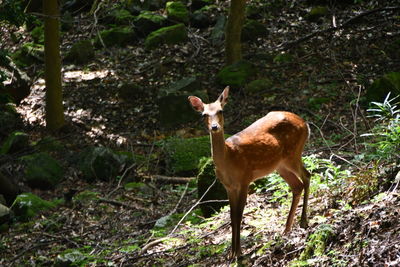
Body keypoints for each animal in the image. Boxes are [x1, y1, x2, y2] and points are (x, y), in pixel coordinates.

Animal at [188, 87, 312, 260]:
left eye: (221, 111)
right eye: (204, 114)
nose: (214, 127)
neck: (229, 159)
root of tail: (305, 124)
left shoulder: (245, 179)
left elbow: (239, 215)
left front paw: (239, 253)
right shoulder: (228, 186)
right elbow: (232, 216)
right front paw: (231, 253)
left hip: (293, 153)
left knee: (307, 176)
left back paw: (303, 222)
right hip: (280, 165)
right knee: (297, 185)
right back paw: (286, 229)